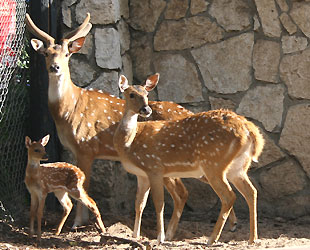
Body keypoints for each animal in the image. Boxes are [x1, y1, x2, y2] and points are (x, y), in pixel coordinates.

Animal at [25, 12, 237, 239]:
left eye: (66, 54)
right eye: (47, 53)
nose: (54, 67)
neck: (67, 111)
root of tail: (188, 113)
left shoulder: (86, 147)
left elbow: (85, 185)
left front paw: (78, 223)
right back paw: (228, 225)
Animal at [114, 74, 264, 244]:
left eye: (146, 94)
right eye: (131, 94)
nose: (146, 109)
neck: (130, 143)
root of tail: (250, 130)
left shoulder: (154, 168)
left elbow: (159, 203)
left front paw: (160, 238)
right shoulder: (142, 175)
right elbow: (139, 203)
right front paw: (135, 235)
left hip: (214, 163)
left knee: (228, 196)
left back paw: (212, 239)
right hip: (238, 167)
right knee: (251, 191)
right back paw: (252, 239)